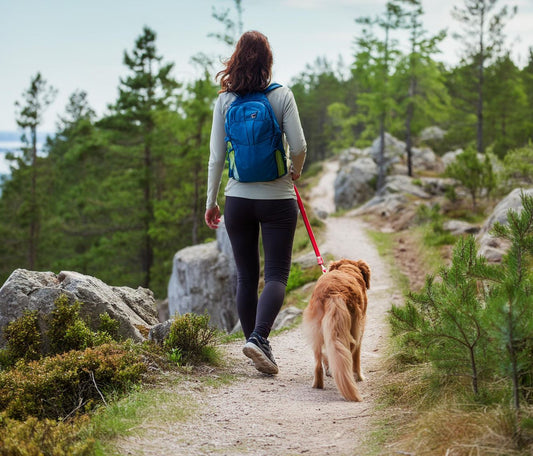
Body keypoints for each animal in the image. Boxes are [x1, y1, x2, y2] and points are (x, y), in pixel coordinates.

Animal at [300, 258, 370, 400]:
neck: (347, 269)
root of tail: (334, 292)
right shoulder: (360, 333)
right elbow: (356, 360)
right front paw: (360, 377)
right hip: (351, 331)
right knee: (347, 356)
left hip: (316, 331)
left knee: (318, 363)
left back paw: (318, 383)